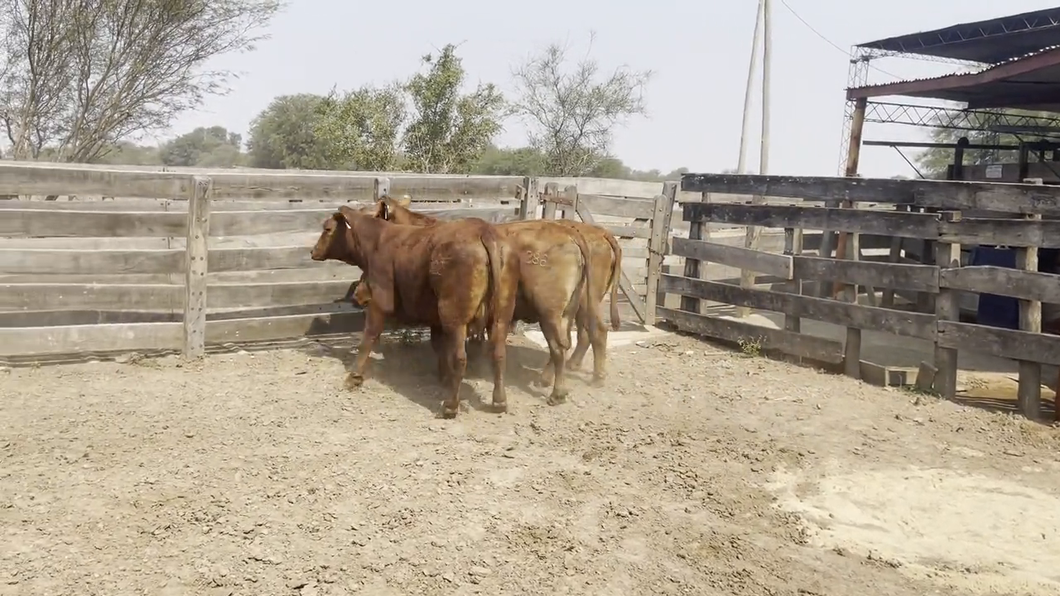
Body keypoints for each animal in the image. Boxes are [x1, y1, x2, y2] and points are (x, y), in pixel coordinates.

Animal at [309, 203, 519, 417]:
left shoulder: (379, 302)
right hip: (500, 316)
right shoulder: (435, 318)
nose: (312, 251)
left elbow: (368, 337)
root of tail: (483, 230)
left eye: (327, 228)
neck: (378, 240)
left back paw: (450, 406)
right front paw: (444, 377)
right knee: (498, 354)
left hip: (455, 318)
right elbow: (438, 345)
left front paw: (354, 377)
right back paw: (499, 402)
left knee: (460, 358)